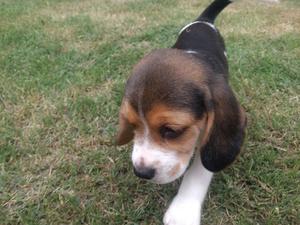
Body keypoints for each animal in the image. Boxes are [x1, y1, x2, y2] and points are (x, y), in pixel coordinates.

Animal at [116, 0, 245, 225]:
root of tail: (204, 20)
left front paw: (183, 211)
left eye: (171, 131)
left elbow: (199, 171)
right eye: (132, 125)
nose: (141, 172)